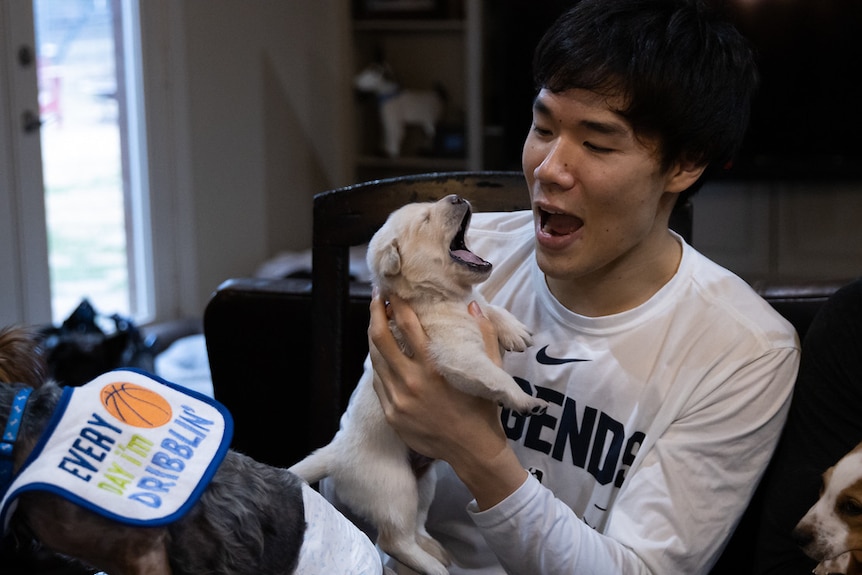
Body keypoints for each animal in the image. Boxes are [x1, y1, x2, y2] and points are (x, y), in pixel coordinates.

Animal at [290, 195, 548, 575]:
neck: (444, 298)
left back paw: (433, 549)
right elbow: (496, 375)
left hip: (423, 483)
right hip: (394, 487)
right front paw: (524, 400)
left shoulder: (475, 305)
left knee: (416, 526)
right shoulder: (456, 354)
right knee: (393, 539)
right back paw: (433, 567)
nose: (456, 197)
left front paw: (514, 330)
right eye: (426, 220)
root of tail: (334, 455)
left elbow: (489, 307)